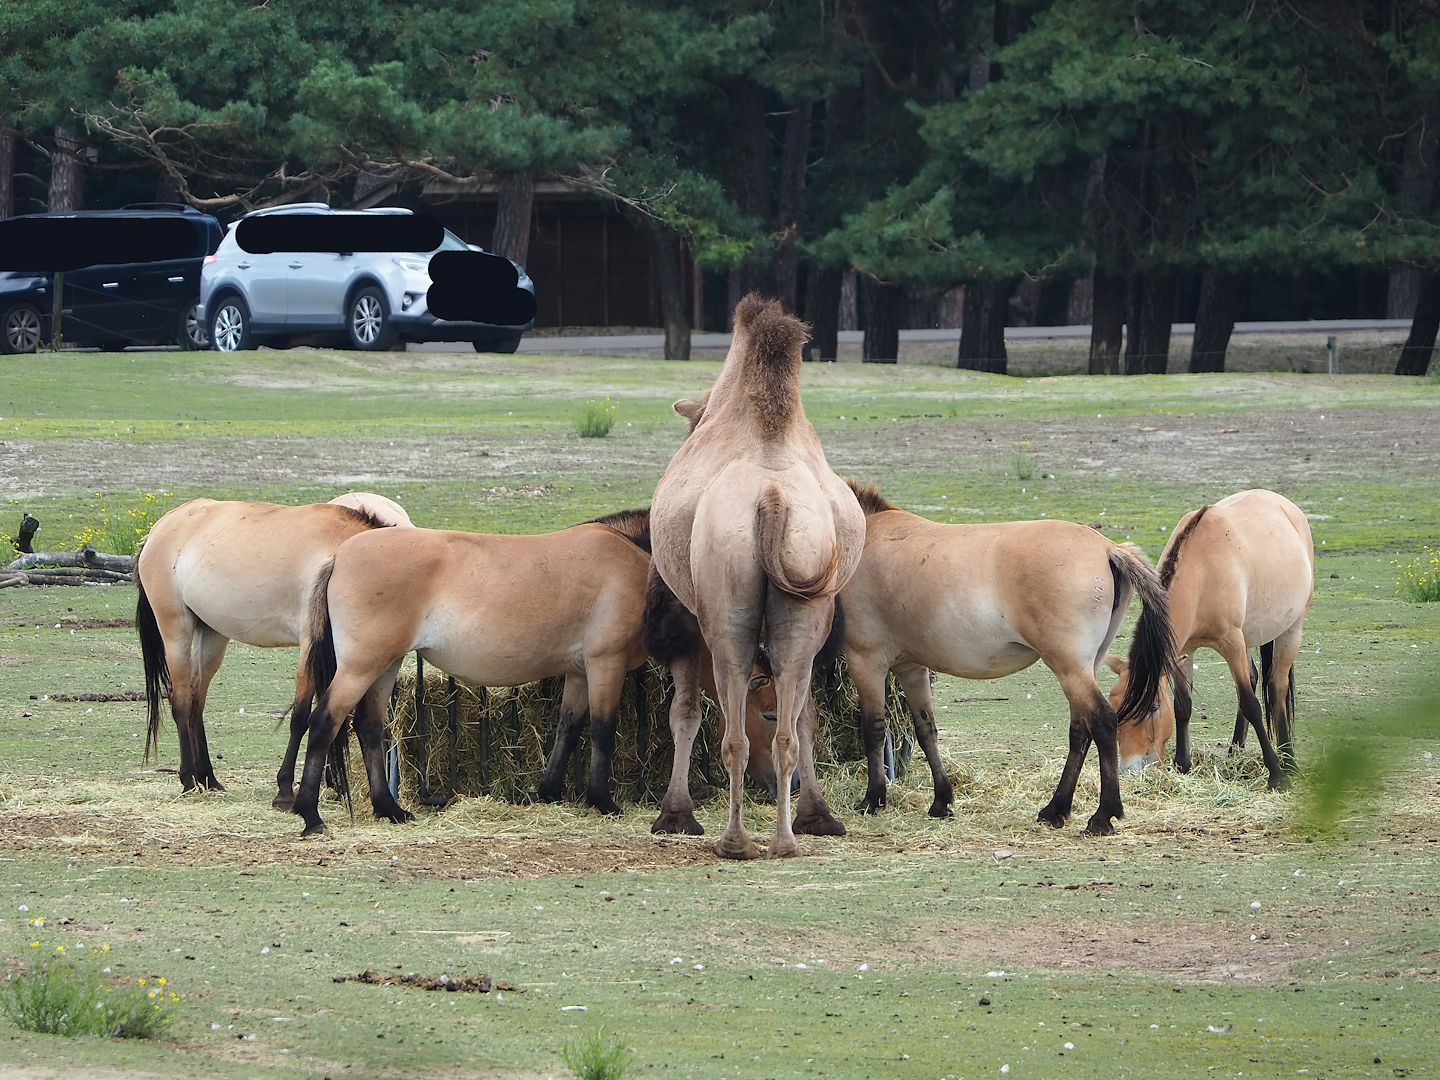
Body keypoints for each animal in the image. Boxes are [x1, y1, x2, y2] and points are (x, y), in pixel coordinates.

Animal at [134, 493, 411, 799]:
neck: (342, 555)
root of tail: (157, 531)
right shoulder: (311, 644)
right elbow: (301, 716)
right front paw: (286, 790)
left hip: (211, 636)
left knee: (196, 702)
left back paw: (208, 778)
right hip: (176, 631)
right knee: (181, 701)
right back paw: (189, 780)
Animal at [649, 293, 865, 859]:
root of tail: (772, 496)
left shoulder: (686, 617)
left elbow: (685, 712)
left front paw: (674, 815)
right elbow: (802, 718)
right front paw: (818, 816)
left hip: (726, 608)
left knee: (734, 732)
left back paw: (735, 841)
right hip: (806, 599)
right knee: (790, 726)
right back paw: (787, 839)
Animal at [835, 481, 1177, 836]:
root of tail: (1108, 548)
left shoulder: (866, 661)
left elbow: (873, 729)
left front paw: (873, 798)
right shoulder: (911, 668)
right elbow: (926, 730)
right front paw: (941, 801)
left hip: (1070, 669)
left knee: (1102, 722)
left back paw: (1102, 815)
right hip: (1085, 668)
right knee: (1080, 730)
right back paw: (1056, 809)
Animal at [1107, 489, 1313, 788]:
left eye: (1153, 707)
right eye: (1115, 707)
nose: (1129, 770)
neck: (1202, 570)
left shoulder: (1232, 642)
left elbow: (1251, 704)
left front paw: (1277, 775)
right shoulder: (1185, 650)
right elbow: (1183, 706)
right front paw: (1182, 765)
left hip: (1291, 629)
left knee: (1276, 687)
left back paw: (1288, 761)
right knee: (1255, 677)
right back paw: (1235, 751)